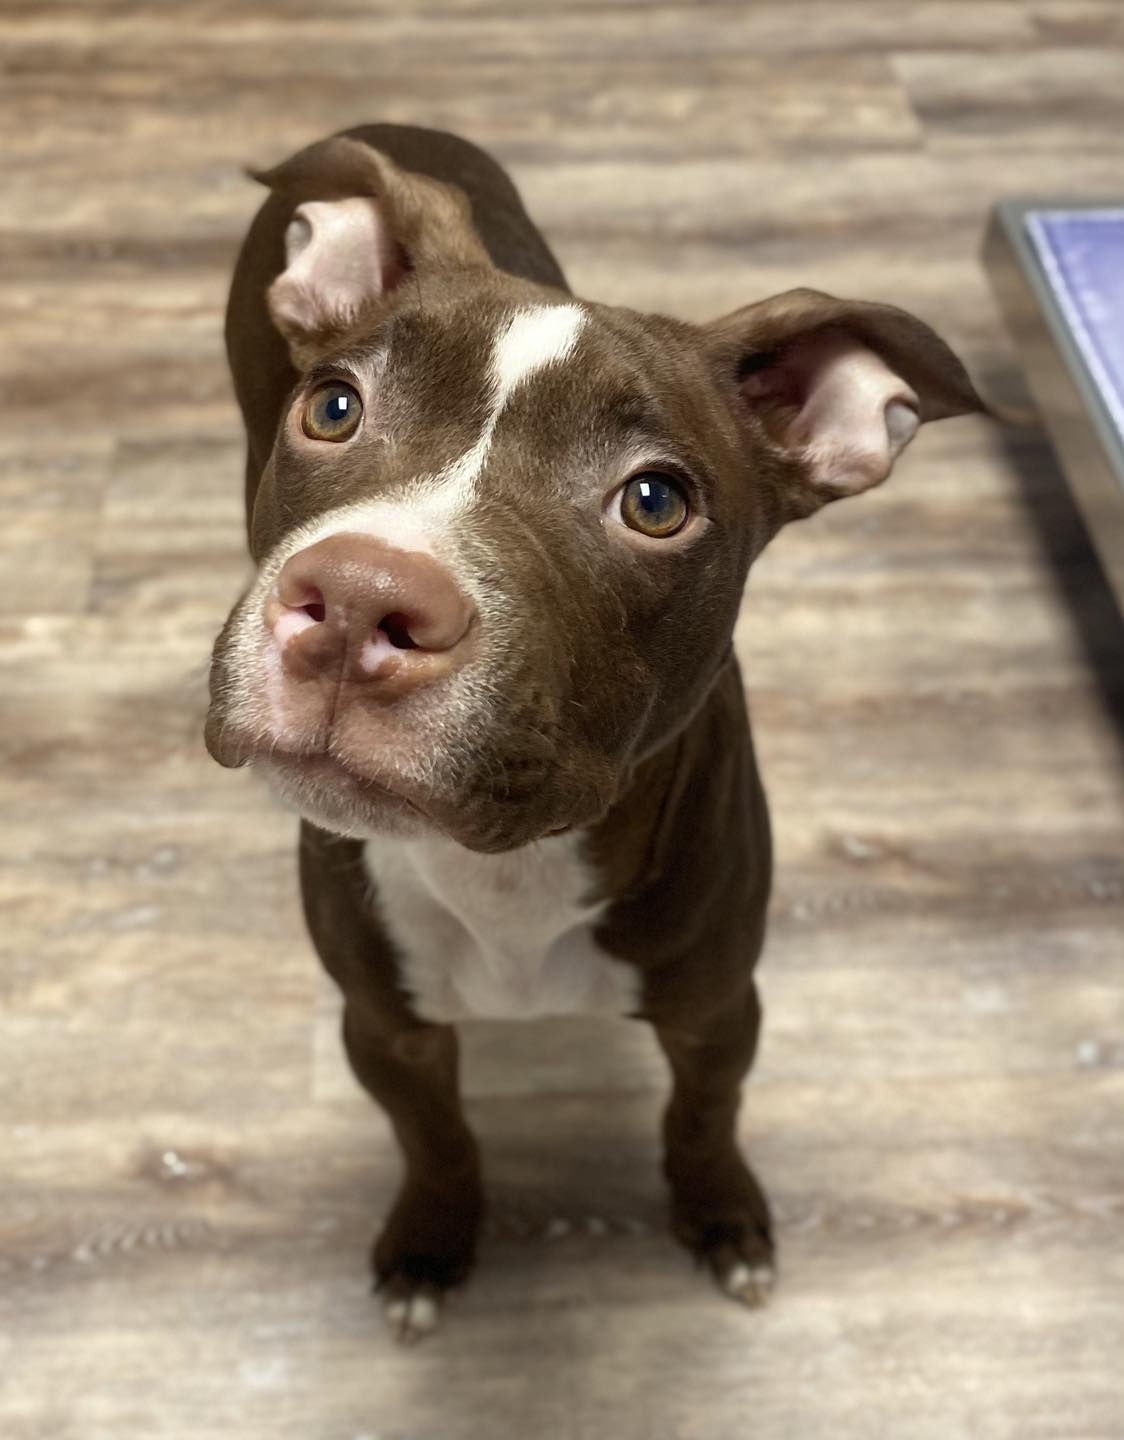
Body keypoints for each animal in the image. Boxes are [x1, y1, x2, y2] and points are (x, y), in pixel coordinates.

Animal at [205, 120, 978, 1336]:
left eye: (655, 502)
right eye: (332, 407)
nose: (363, 596)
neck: (508, 867)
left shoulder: (718, 1009)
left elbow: (702, 1118)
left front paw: (720, 1216)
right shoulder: (385, 1028)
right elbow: (435, 1139)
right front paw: (431, 1241)